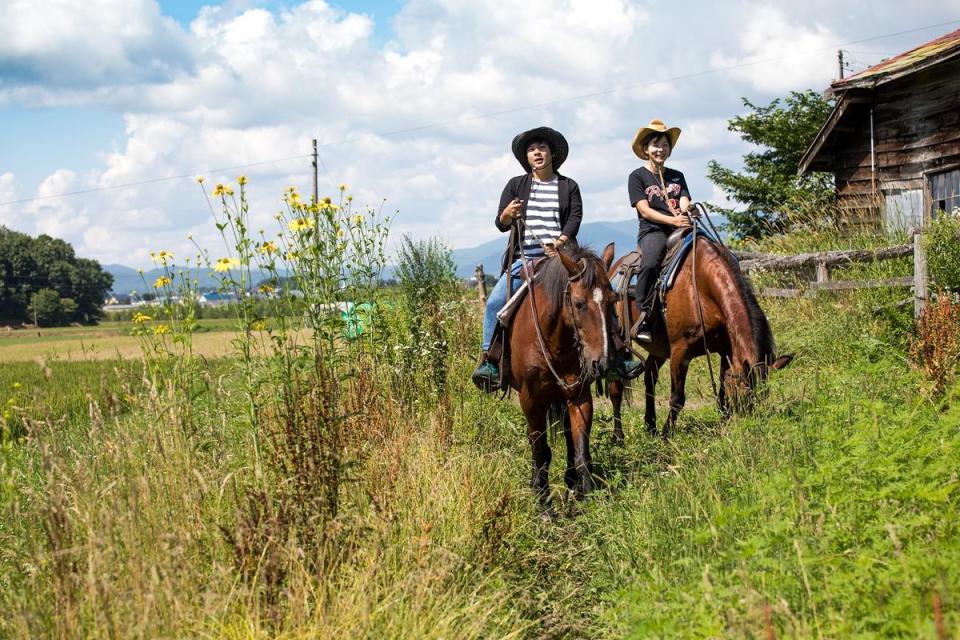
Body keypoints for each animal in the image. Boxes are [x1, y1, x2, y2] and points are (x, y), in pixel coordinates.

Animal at [506, 242, 620, 512]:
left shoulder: (579, 395)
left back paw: (571, 484)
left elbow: (580, 450)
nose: (601, 363)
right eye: (578, 304)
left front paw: (587, 498)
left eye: (613, 301)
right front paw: (544, 506)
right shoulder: (530, 400)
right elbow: (540, 450)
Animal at [612, 235, 792, 440]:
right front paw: (667, 435)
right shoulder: (680, 352)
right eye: (745, 394)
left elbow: (722, 391)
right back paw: (618, 435)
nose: (750, 426)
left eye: (763, 395)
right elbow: (677, 398)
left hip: (659, 349)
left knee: (650, 377)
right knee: (616, 387)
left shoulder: (726, 351)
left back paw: (650, 426)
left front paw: (724, 422)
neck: (699, 286)